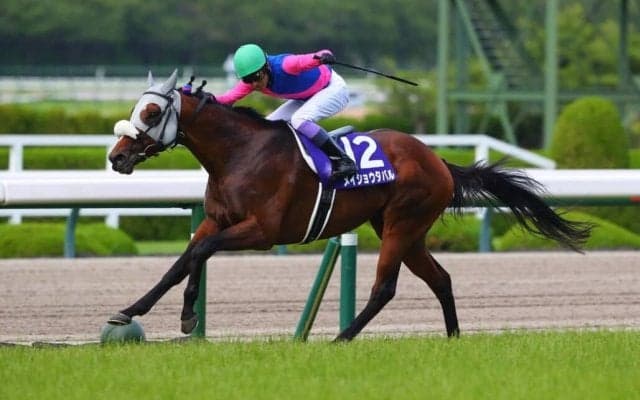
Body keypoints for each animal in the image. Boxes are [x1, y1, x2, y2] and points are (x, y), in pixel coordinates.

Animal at [107, 70, 592, 340]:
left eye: (151, 113)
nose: (116, 157)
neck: (239, 153)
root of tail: (437, 160)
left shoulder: (263, 231)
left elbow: (202, 254)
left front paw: (188, 316)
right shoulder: (216, 220)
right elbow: (183, 261)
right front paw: (130, 311)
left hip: (401, 225)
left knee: (384, 288)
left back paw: (340, 338)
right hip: (404, 230)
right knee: (440, 278)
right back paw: (453, 339)